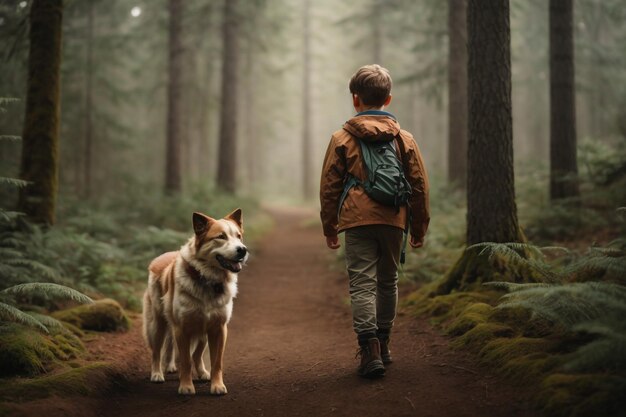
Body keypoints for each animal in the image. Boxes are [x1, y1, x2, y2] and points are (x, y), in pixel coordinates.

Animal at [143, 210, 247, 394]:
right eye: (221, 236)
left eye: (239, 236)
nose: (243, 250)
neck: (207, 279)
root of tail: (162, 256)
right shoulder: (181, 328)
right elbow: (185, 361)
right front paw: (186, 386)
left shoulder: (218, 328)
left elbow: (216, 362)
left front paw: (217, 385)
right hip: (157, 324)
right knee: (156, 351)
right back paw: (157, 374)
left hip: (202, 330)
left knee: (196, 355)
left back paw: (202, 372)